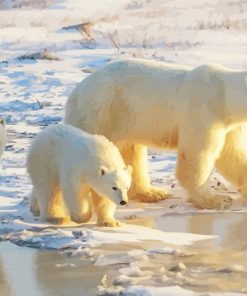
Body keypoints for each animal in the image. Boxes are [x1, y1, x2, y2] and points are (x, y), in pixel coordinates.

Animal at [63, 58, 247, 210]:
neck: (223, 93)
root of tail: (76, 92)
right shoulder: (203, 110)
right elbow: (196, 154)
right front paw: (217, 200)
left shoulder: (228, 125)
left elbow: (232, 155)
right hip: (99, 113)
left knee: (131, 153)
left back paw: (152, 193)